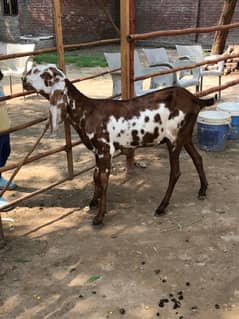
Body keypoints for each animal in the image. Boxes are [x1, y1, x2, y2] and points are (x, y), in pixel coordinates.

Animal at [22, 64, 215, 225]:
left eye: (44, 73)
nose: (23, 79)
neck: (87, 111)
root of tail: (195, 99)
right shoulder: (97, 151)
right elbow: (95, 176)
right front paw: (93, 202)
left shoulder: (105, 150)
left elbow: (103, 179)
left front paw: (99, 217)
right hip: (186, 135)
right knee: (198, 158)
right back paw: (202, 190)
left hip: (174, 138)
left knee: (175, 172)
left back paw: (162, 207)